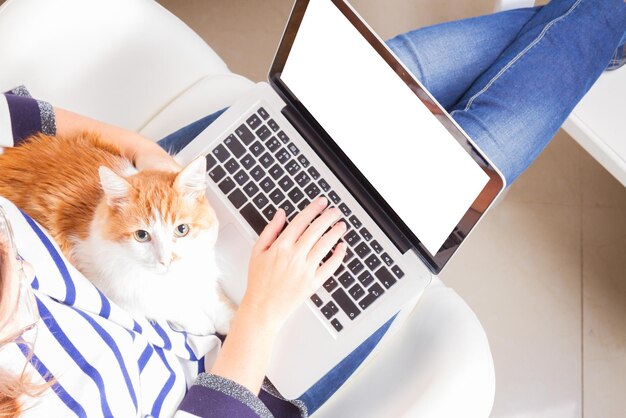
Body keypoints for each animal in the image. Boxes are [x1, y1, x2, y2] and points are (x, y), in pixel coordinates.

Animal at [0, 132, 233, 334]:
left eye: (181, 230)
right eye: (142, 235)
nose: (166, 260)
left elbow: (213, 297)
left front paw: (229, 321)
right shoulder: (116, 286)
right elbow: (168, 307)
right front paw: (200, 322)